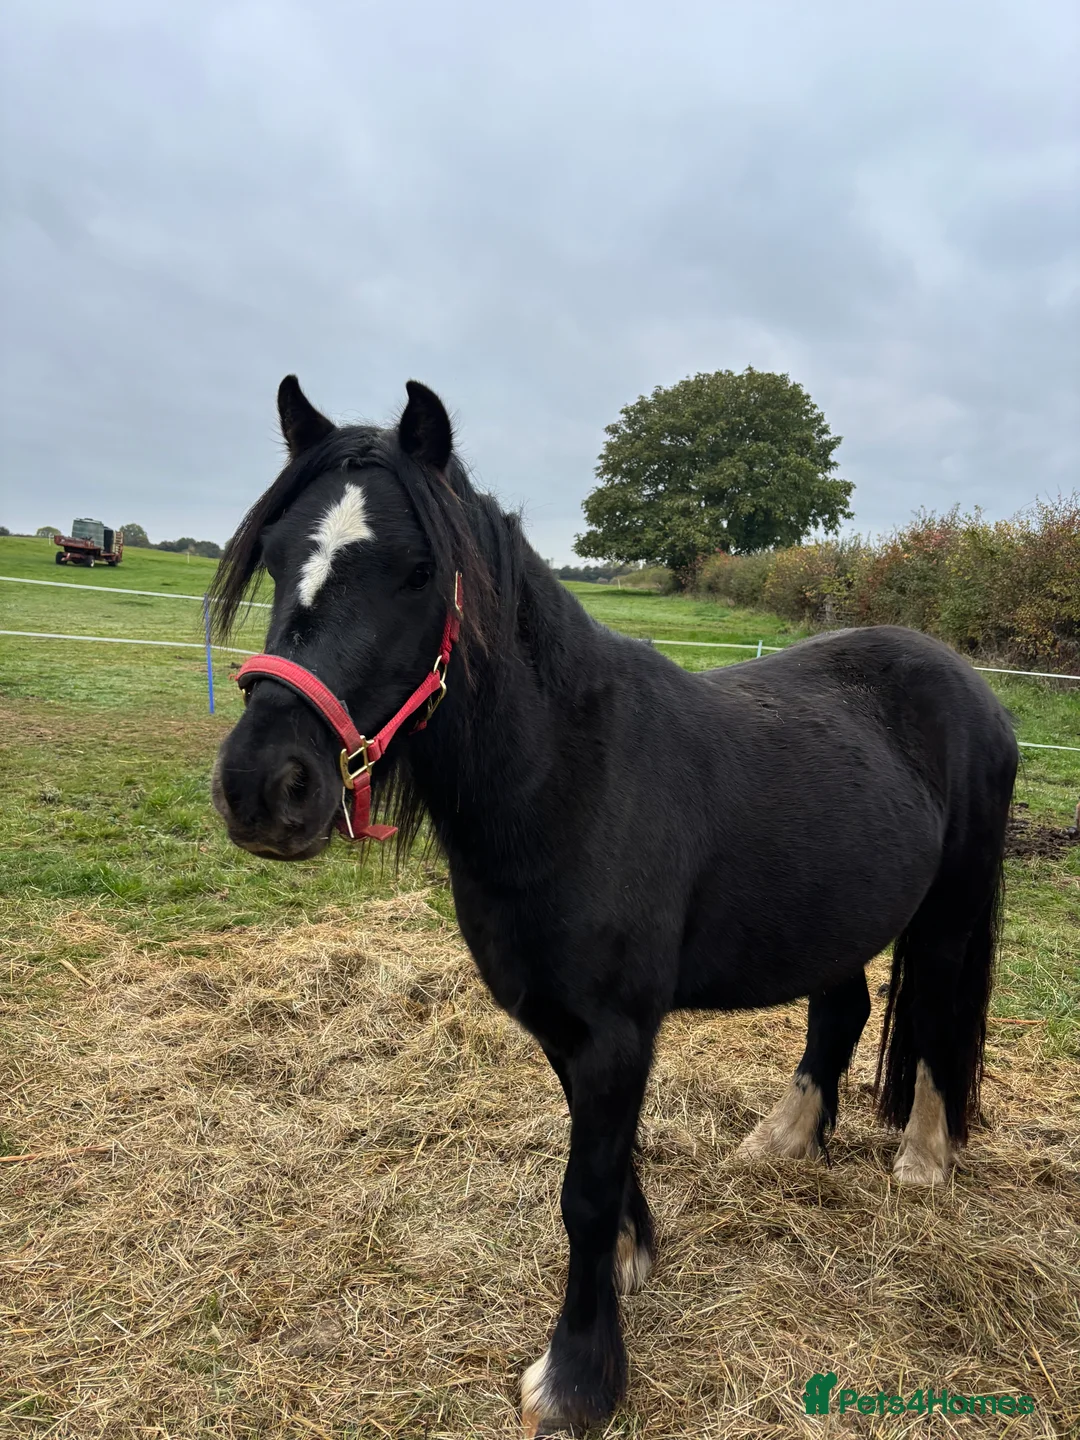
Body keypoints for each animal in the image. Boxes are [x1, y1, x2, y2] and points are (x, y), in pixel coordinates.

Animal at [210, 377, 1018, 1437]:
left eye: (419, 570)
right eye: (272, 555)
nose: (266, 787)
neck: (567, 776)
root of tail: (964, 676)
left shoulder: (615, 1032)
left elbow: (582, 1195)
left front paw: (577, 1378)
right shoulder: (566, 1027)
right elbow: (609, 1163)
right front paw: (637, 1259)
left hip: (951, 913)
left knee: (937, 1015)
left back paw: (922, 1160)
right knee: (844, 1010)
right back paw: (781, 1145)